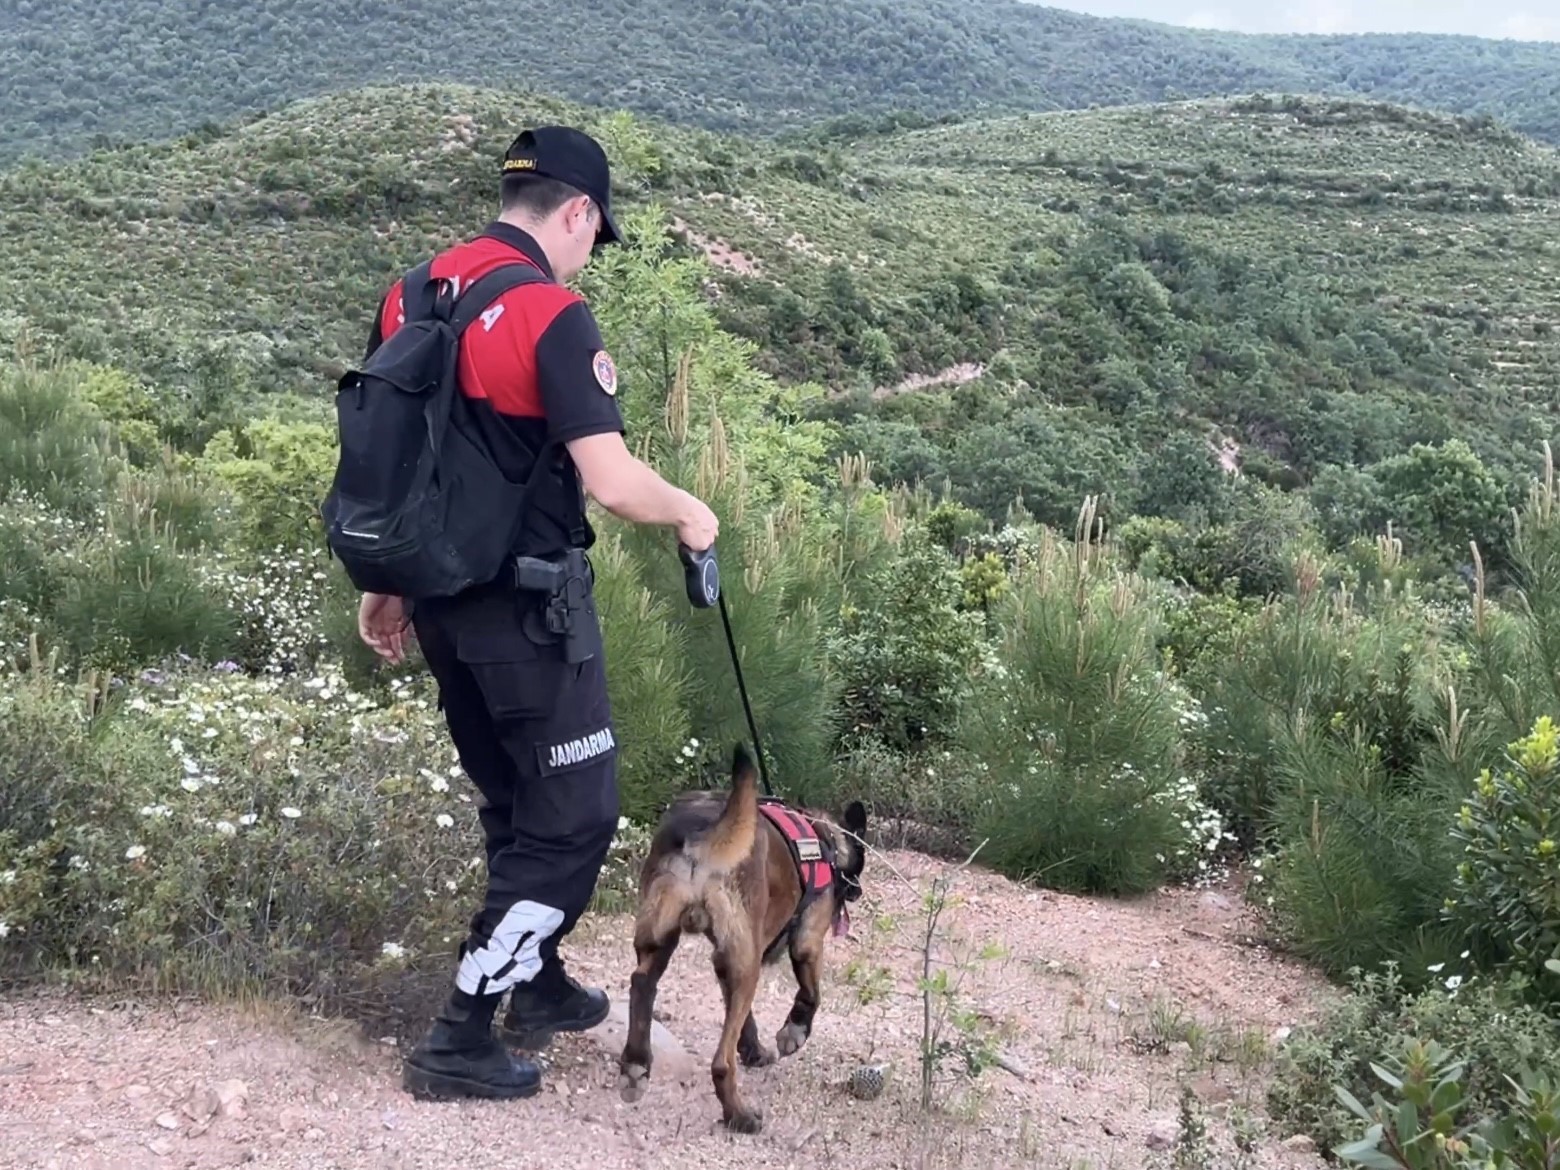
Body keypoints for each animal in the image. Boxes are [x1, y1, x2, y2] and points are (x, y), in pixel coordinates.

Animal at [617, 742, 867, 1135]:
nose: (857, 892)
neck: (823, 837)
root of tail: (702, 832)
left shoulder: (731, 962)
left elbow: (744, 1018)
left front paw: (753, 1050)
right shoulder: (807, 941)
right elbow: (812, 994)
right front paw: (793, 1032)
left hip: (662, 939)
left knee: (642, 983)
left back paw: (636, 1064)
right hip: (747, 966)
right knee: (720, 1064)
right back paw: (739, 1115)